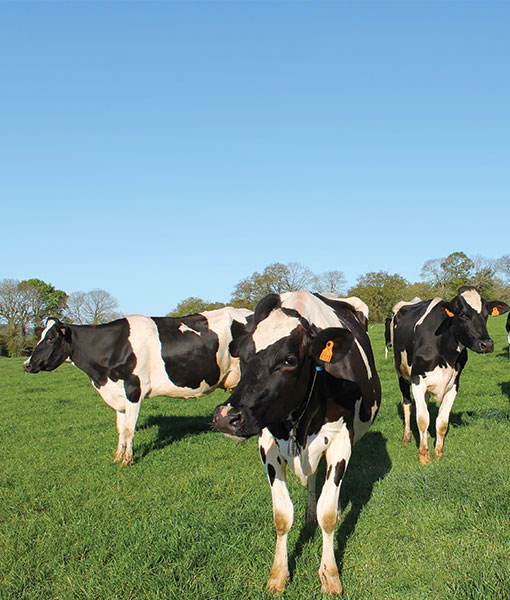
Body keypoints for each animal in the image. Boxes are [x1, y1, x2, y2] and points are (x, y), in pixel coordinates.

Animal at [24, 308, 252, 466]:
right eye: (41, 336)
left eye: (50, 338)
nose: (26, 364)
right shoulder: (118, 396)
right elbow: (119, 428)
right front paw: (117, 457)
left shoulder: (133, 390)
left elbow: (129, 428)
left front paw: (128, 460)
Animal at [209, 290, 380, 596]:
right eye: (243, 356)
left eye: (289, 360)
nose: (226, 417)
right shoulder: (268, 445)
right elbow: (281, 515)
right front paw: (278, 575)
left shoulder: (341, 441)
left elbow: (328, 513)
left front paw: (330, 575)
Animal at [390, 286, 506, 464]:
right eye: (463, 315)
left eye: (486, 315)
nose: (487, 344)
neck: (445, 351)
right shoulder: (417, 380)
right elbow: (422, 419)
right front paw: (424, 456)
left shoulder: (454, 384)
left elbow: (442, 421)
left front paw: (438, 453)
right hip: (401, 373)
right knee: (408, 404)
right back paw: (407, 437)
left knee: (424, 403)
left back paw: (427, 435)